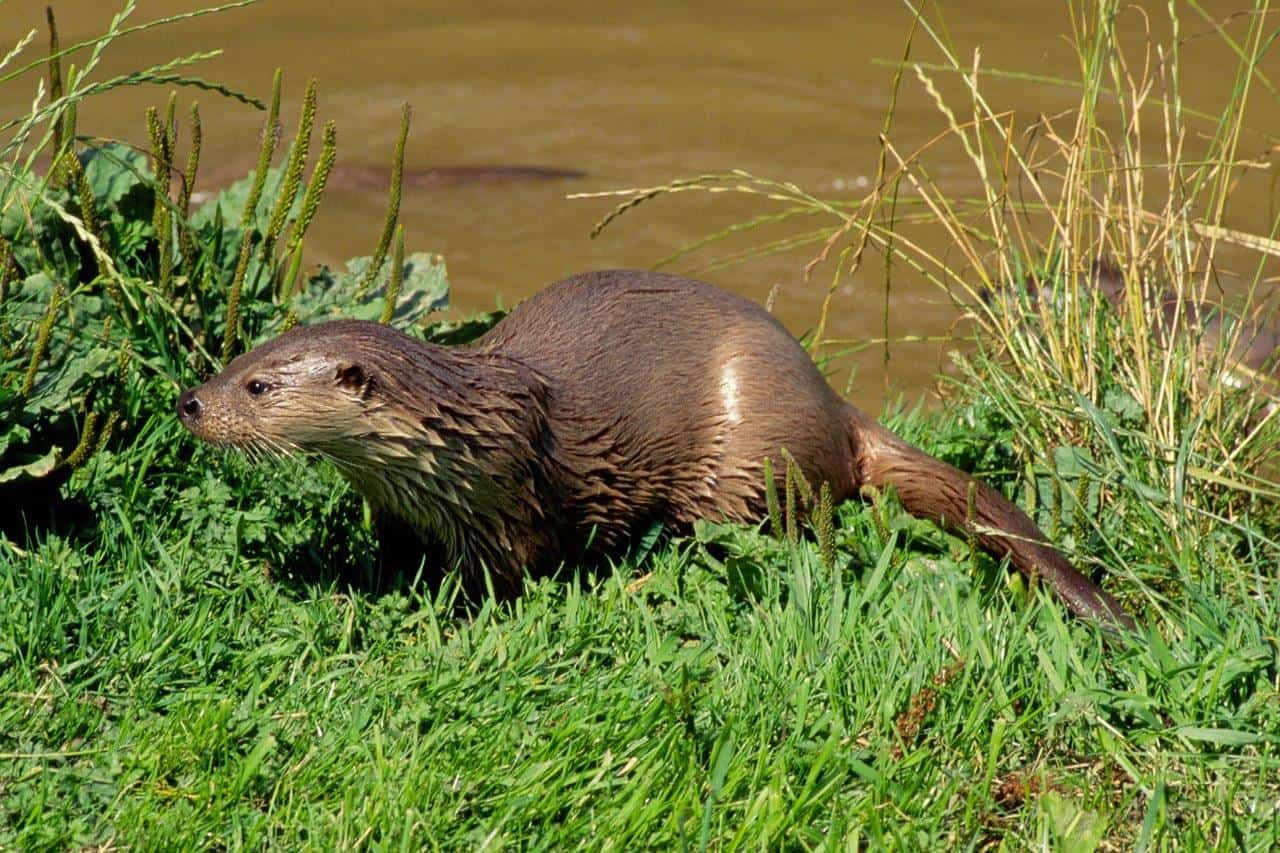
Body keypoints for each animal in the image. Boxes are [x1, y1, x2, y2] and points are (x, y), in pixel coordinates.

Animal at [175, 268, 1136, 627]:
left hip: (747, 458)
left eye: (257, 389)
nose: (189, 402)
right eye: (238, 360)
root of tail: (835, 406)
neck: (455, 441)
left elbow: (503, 580)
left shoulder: (509, 508)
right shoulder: (397, 510)